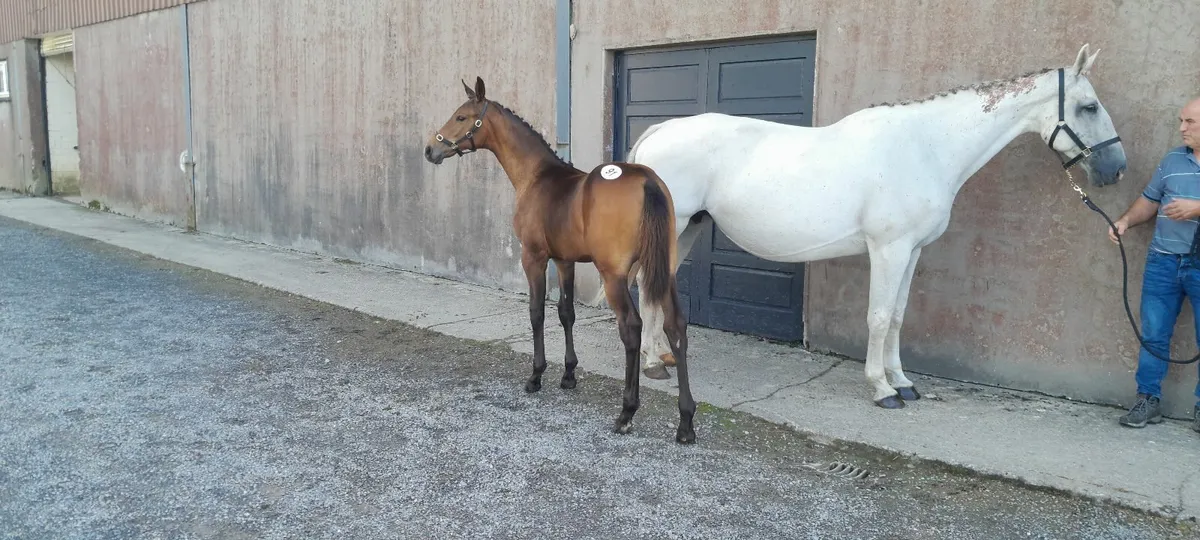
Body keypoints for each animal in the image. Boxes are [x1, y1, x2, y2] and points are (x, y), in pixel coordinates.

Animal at [423, 76, 697, 443]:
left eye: (462, 117)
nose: (430, 150)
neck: (537, 176)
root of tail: (647, 180)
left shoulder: (533, 258)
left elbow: (537, 312)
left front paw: (536, 376)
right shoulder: (565, 261)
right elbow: (566, 314)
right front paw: (569, 374)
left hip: (614, 276)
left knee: (632, 327)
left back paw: (626, 412)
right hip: (665, 271)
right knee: (676, 326)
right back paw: (686, 422)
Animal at [627, 44, 1127, 409]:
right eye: (1088, 106)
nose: (1116, 169)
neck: (926, 147)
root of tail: (660, 130)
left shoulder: (913, 250)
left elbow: (900, 315)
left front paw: (904, 381)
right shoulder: (890, 248)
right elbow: (880, 315)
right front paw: (883, 389)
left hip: (689, 228)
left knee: (656, 286)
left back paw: (659, 359)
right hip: (677, 226)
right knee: (650, 287)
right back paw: (653, 364)